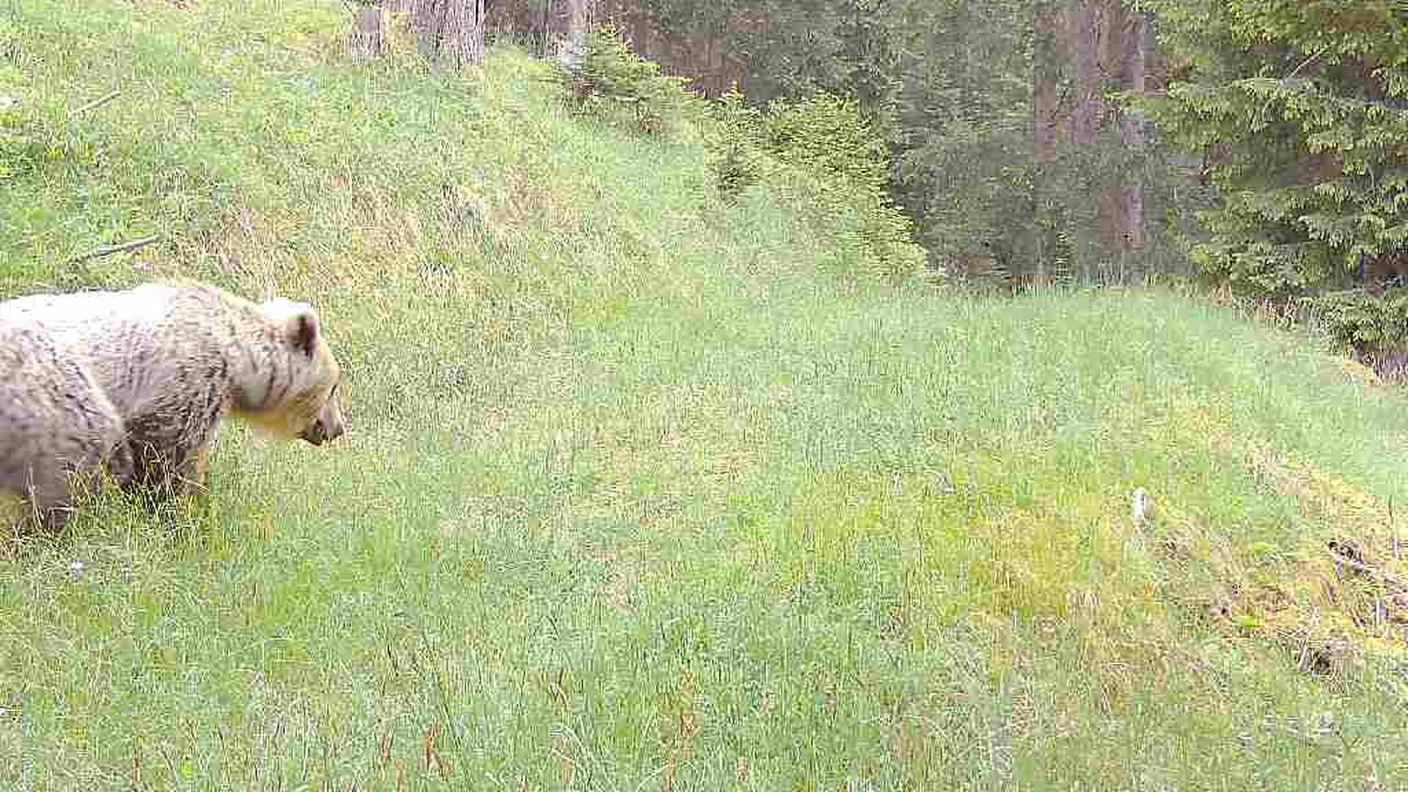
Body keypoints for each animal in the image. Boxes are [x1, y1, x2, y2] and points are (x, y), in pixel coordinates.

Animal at [0, 280, 345, 529]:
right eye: (333, 387)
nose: (337, 428)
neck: (239, 363)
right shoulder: (186, 383)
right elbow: (167, 462)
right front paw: (176, 512)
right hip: (48, 395)